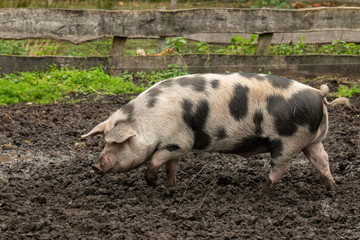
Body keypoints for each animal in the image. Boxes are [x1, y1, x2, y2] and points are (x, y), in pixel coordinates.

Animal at [81, 72, 348, 192]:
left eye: (117, 143)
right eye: (104, 142)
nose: (95, 165)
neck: (149, 120)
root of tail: (319, 94)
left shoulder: (180, 140)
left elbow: (156, 159)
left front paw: (150, 181)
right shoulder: (174, 146)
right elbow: (171, 166)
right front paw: (170, 186)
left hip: (287, 140)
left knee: (281, 167)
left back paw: (262, 191)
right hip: (312, 140)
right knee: (322, 160)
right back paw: (332, 189)